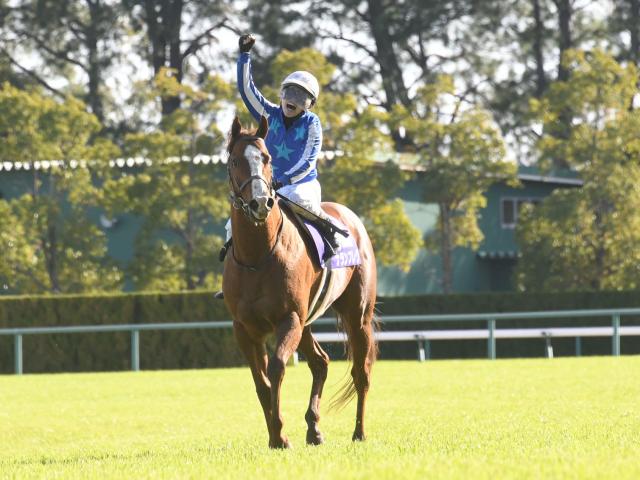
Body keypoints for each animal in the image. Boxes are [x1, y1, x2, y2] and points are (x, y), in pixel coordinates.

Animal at [222, 114, 378, 448]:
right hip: (307, 322)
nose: (260, 203)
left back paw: (359, 432)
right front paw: (274, 435)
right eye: (235, 160)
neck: (258, 256)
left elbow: (278, 369)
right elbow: (261, 381)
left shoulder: (289, 318)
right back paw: (314, 428)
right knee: (321, 362)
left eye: (266, 158)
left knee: (361, 373)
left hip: (357, 316)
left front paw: (280, 434)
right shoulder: (244, 327)